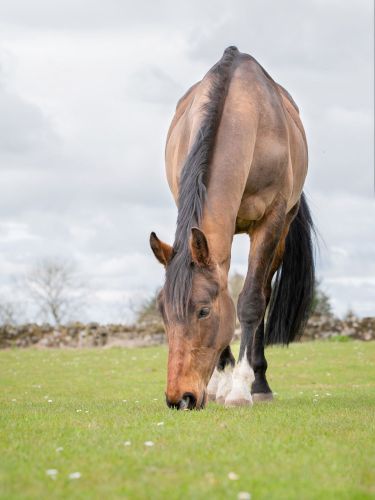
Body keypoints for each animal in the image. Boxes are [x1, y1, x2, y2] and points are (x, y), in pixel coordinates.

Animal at [149, 45, 314, 408]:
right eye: (163, 313)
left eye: (203, 312)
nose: (180, 398)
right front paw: (219, 383)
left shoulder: (271, 220)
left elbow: (251, 300)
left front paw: (239, 388)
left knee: (264, 292)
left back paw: (259, 382)